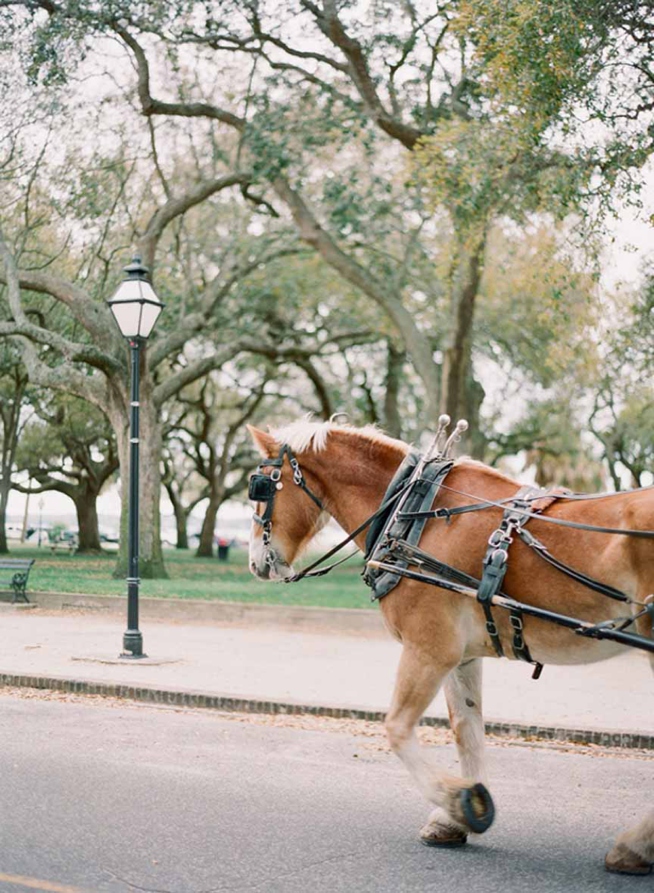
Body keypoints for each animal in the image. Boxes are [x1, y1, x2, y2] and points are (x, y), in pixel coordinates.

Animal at [247, 416, 654, 872]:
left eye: (258, 487)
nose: (254, 561)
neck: (415, 509)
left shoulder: (430, 648)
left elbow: (397, 728)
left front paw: (458, 801)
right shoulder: (462, 655)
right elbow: (467, 729)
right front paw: (454, 817)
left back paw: (636, 844)